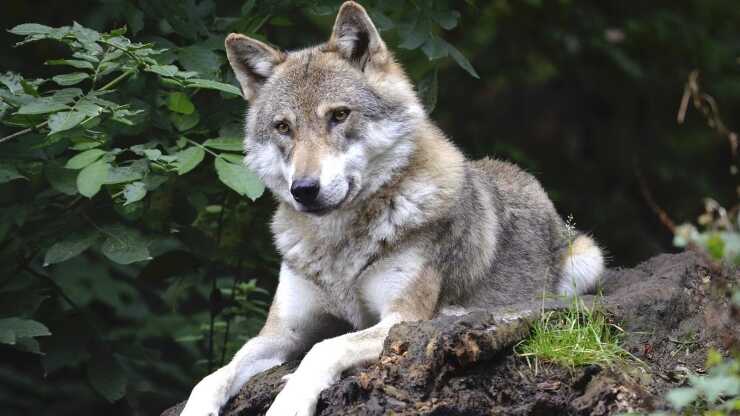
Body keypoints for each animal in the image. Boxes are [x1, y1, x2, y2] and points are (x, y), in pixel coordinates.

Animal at [180, 2, 605, 415]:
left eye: (339, 115)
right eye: (283, 127)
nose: (304, 190)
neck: (338, 246)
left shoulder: (401, 318)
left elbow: (324, 347)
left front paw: (289, 402)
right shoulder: (282, 332)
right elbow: (213, 375)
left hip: (587, 261)